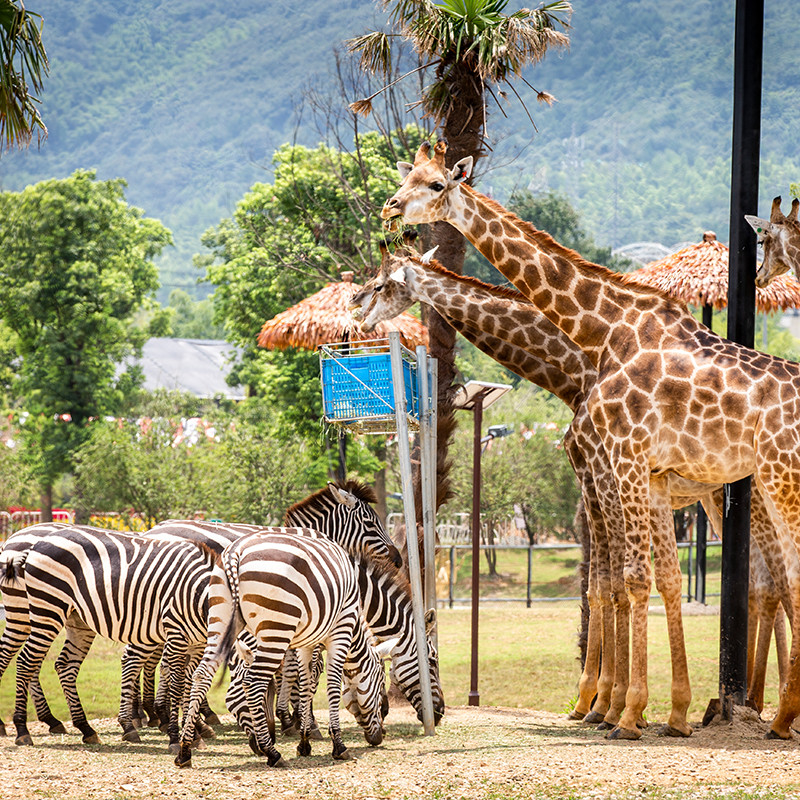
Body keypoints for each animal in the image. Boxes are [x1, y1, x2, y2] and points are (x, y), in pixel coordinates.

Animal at [0, 528, 216, 748]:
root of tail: (35, 546)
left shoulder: (197, 644)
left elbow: (191, 682)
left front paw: (193, 732)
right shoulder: (176, 636)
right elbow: (178, 683)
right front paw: (178, 735)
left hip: (74, 619)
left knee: (62, 665)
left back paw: (85, 728)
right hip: (44, 609)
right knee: (25, 661)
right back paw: (22, 729)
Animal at [175, 528, 394, 764]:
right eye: (381, 680)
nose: (379, 737)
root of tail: (235, 552)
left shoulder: (306, 641)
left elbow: (306, 683)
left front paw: (304, 741)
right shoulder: (341, 629)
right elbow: (332, 684)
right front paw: (338, 744)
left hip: (219, 619)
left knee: (202, 675)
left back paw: (184, 750)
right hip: (276, 627)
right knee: (254, 681)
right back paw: (271, 752)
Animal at [376, 142, 800, 736]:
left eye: (435, 184)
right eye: (407, 177)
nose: (390, 208)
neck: (595, 343)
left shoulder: (617, 464)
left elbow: (627, 581)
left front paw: (622, 709)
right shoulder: (630, 477)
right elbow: (635, 581)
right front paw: (650, 708)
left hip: (770, 485)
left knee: (780, 582)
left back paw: (774, 711)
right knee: (773, 584)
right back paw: (770, 709)